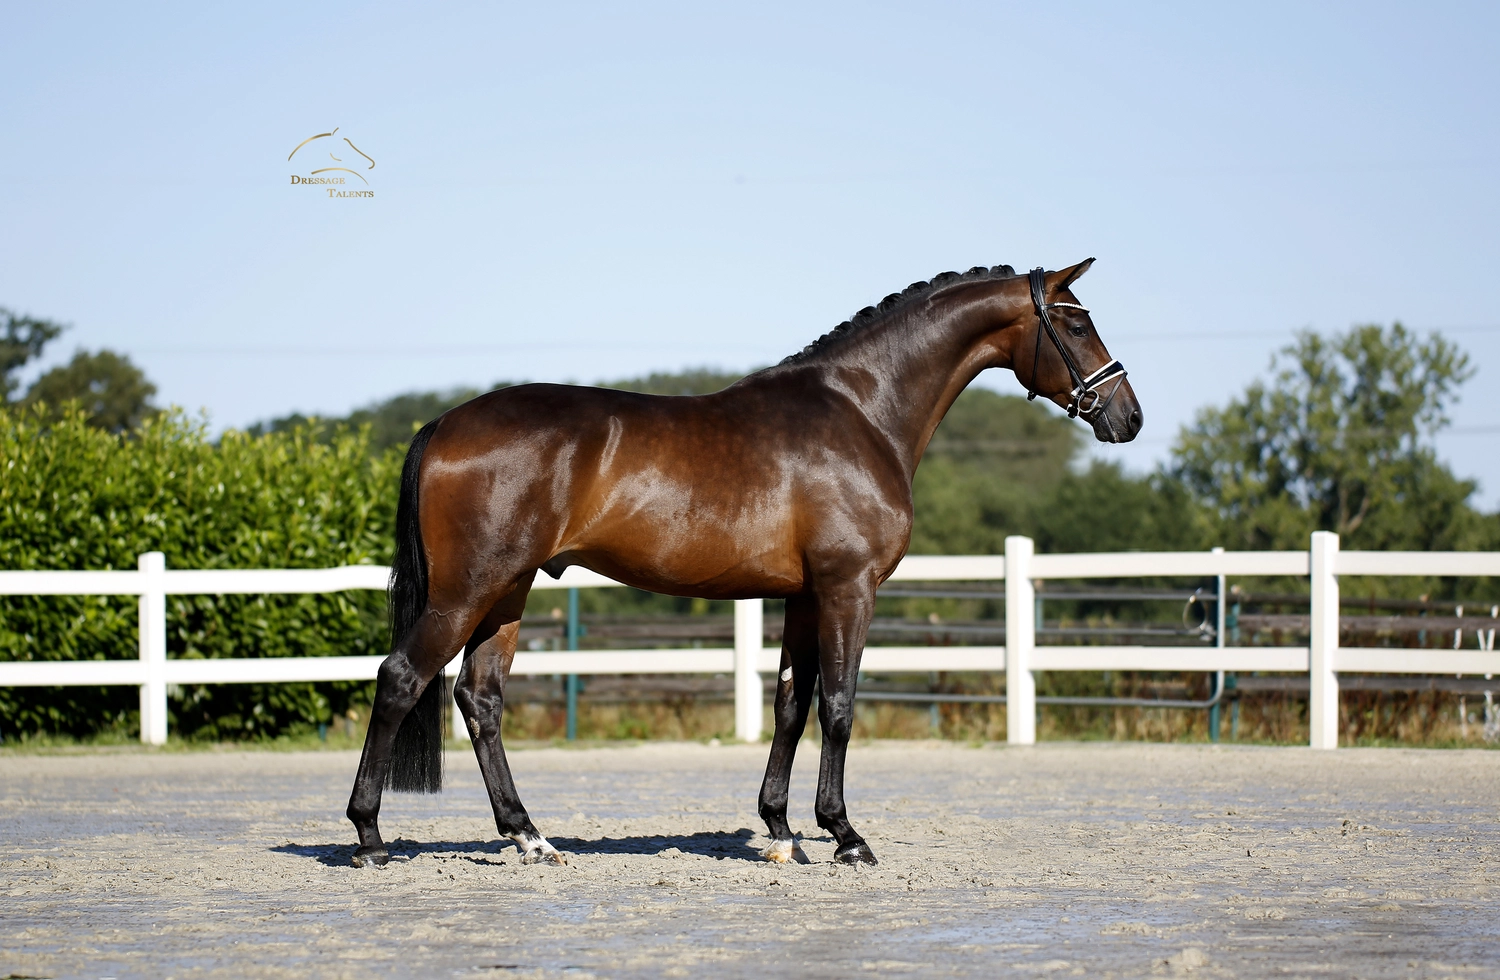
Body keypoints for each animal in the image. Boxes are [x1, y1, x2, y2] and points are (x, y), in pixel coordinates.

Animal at [346, 259, 1141, 868]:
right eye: (1075, 322)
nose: (1128, 417)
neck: (861, 411)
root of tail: (445, 423)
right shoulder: (849, 589)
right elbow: (839, 705)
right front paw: (846, 836)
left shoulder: (804, 596)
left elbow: (791, 702)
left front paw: (782, 829)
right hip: (467, 590)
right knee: (401, 679)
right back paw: (370, 836)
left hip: (505, 594)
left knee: (479, 699)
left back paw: (530, 837)